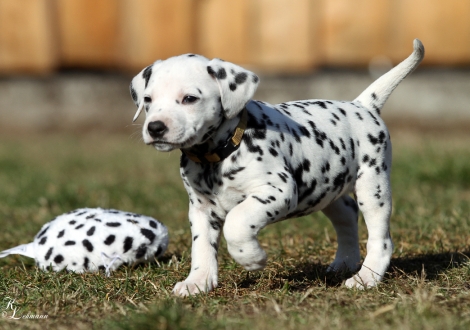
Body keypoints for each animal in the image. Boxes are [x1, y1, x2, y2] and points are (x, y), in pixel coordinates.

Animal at [130, 40, 424, 296]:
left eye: (189, 98)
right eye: (148, 99)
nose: (155, 128)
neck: (219, 154)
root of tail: (363, 105)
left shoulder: (277, 191)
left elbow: (236, 222)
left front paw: (252, 259)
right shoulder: (201, 208)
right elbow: (202, 246)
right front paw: (198, 282)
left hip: (372, 188)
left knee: (380, 238)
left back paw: (367, 277)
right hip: (327, 188)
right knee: (347, 215)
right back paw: (345, 262)